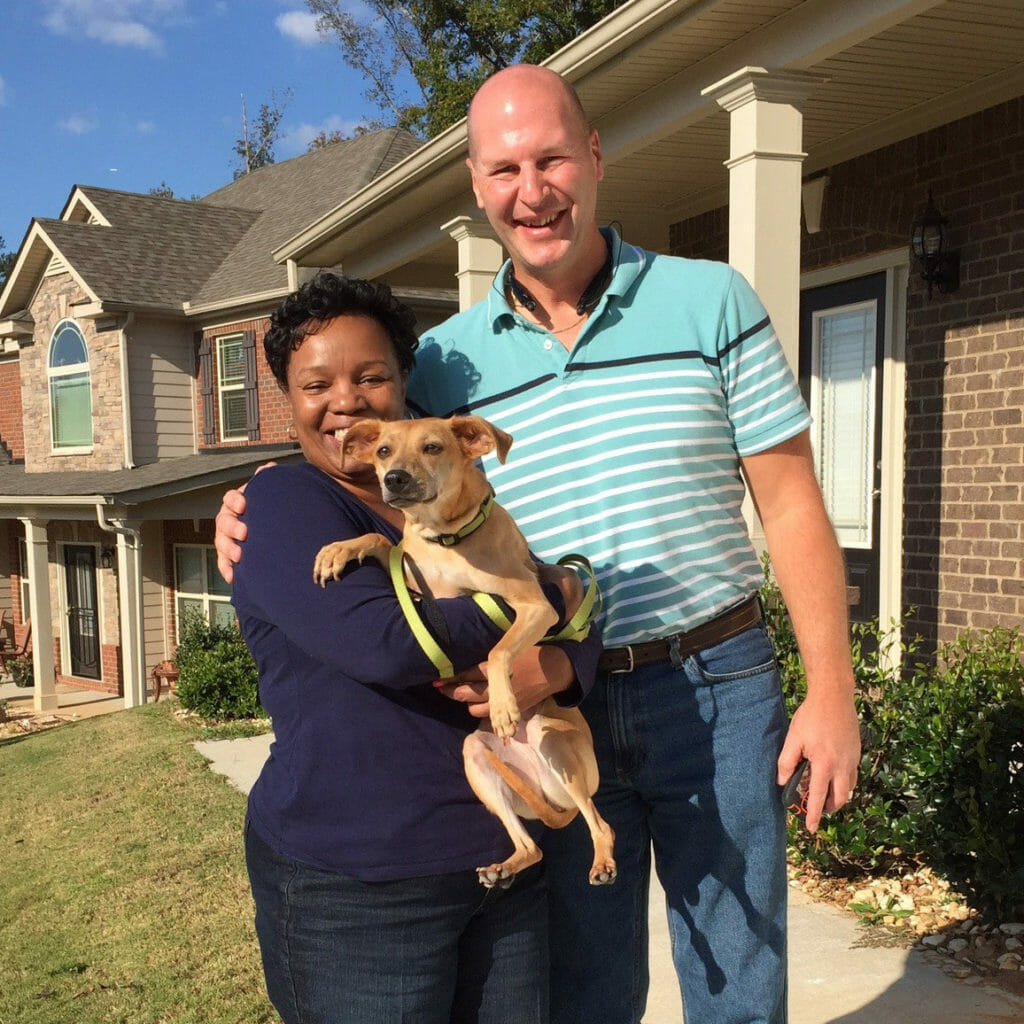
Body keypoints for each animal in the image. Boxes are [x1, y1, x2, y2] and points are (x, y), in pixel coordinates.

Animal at [311, 415, 614, 888]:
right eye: (383, 451)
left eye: (433, 447)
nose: (395, 478)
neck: (443, 538)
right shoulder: (414, 587)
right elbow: (382, 541)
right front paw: (340, 549)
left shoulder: (534, 605)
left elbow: (499, 651)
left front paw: (504, 706)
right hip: (478, 758)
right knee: (530, 846)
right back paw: (504, 866)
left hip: (555, 744)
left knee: (600, 823)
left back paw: (601, 862)